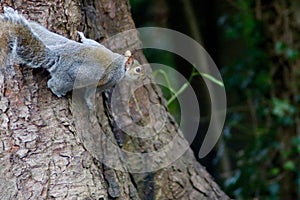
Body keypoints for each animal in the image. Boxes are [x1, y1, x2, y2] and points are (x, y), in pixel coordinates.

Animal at [0, 7, 143, 101]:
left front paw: (82, 35)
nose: (143, 77)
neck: (122, 63)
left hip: (56, 40)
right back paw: (57, 92)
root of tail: (57, 55)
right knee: (54, 84)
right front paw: (91, 104)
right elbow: (93, 92)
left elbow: (91, 42)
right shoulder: (111, 79)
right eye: (138, 70)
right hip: (71, 78)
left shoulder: (98, 45)